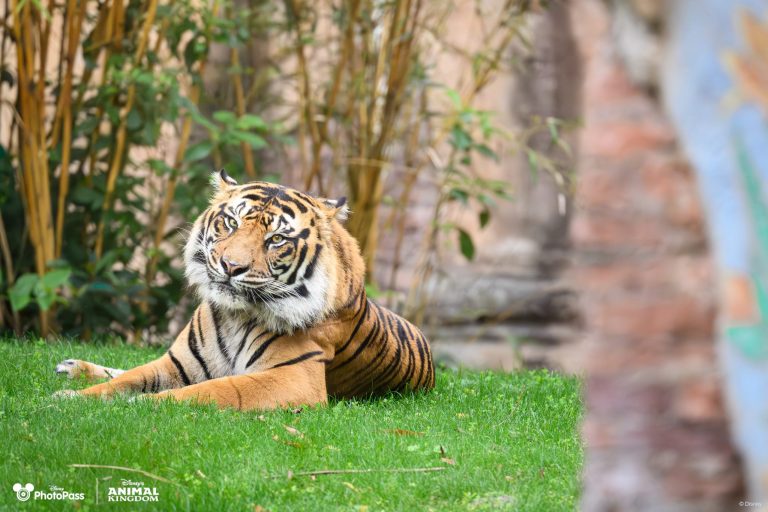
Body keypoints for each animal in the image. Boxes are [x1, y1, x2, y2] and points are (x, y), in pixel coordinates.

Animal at [53, 170, 435, 411]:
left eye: (276, 239)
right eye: (231, 222)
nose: (231, 266)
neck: (235, 316)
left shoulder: (295, 378)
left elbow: (212, 390)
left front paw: (141, 404)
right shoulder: (177, 364)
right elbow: (126, 380)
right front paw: (70, 397)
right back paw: (71, 366)